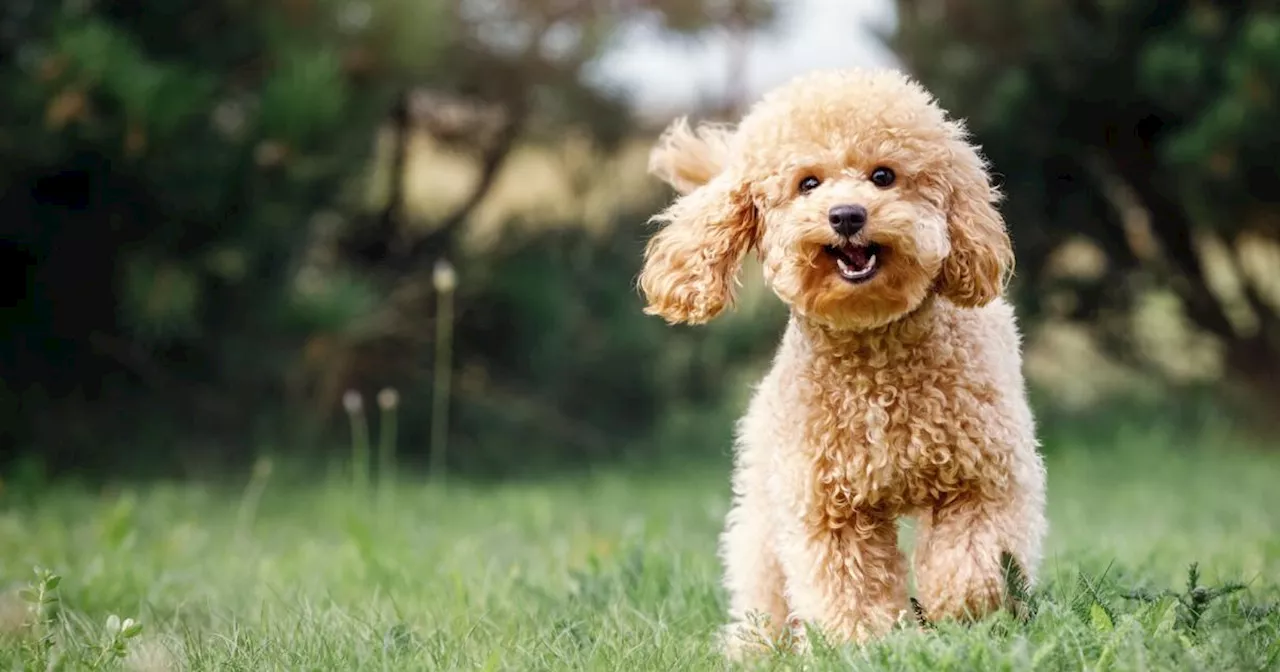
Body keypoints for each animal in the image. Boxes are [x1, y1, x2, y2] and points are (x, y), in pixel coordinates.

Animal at [640, 69, 1049, 655]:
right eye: (808, 183)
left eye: (883, 176)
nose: (847, 215)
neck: (873, 348)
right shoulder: (827, 506)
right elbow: (845, 585)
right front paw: (863, 646)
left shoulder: (984, 477)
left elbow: (976, 557)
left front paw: (965, 611)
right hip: (764, 498)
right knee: (761, 579)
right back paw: (753, 647)